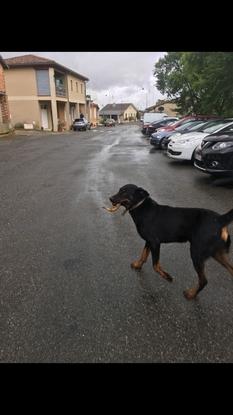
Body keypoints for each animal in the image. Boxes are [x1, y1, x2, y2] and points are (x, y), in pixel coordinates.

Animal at [104, 184, 233, 300]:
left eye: (125, 192)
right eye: (119, 190)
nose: (110, 198)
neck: (142, 208)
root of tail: (220, 219)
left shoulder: (155, 243)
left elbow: (155, 265)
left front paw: (167, 277)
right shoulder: (149, 241)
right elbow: (143, 255)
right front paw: (137, 265)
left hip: (197, 253)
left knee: (203, 280)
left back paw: (191, 294)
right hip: (217, 253)